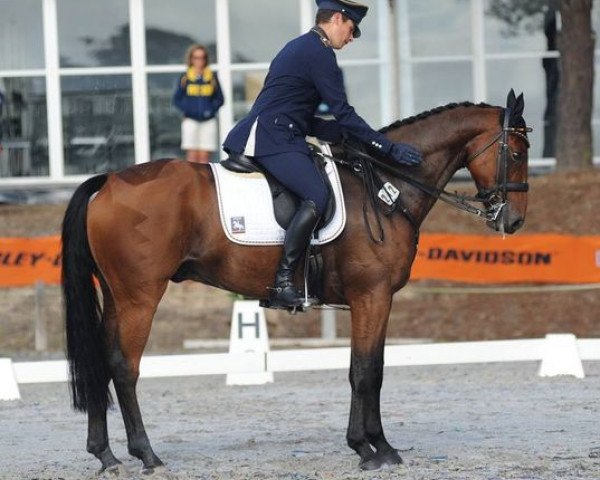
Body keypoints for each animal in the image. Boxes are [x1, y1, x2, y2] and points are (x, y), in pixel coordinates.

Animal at [61, 89, 528, 472]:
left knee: (101, 362)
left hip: (116, 295)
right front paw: (373, 448)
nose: (514, 220)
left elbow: (365, 367)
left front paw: (369, 445)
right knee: (125, 367)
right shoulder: (372, 296)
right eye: (518, 151)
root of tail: (110, 181)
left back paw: (106, 455)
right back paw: (146, 454)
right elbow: (367, 372)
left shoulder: (371, 299)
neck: (385, 187)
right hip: (139, 296)